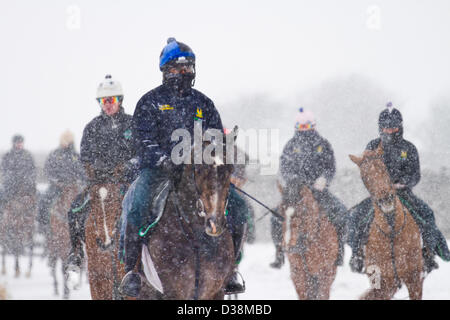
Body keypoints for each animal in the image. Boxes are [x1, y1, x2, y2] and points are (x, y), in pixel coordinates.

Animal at [350, 145, 424, 300]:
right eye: (364, 177)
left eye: (384, 168)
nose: (385, 199)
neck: (391, 231)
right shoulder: (384, 283)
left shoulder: (415, 280)